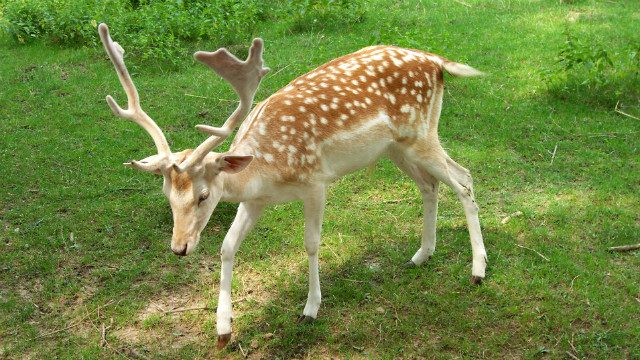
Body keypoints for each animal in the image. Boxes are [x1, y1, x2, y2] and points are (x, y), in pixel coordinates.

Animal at [97, 22, 490, 348]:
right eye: (167, 194)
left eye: (203, 196)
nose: (179, 248)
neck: (266, 173)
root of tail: (435, 60)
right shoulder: (254, 201)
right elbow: (227, 247)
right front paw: (223, 329)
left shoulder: (316, 182)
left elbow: (311, 244)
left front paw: (311, 308)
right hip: (396, 148)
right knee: (430, 185)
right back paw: (421, 255)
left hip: (420, 134)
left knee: (464, 179)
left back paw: (477, 270)